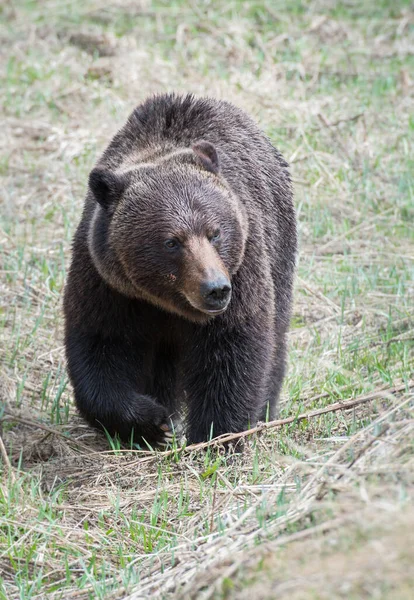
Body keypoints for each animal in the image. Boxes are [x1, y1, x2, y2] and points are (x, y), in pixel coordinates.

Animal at [63, 94, 296, 446]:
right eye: (172, 241)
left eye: (215, 232)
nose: (215, 288)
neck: (167, 303)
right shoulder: (107, 284)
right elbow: (100, 347)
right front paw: (153, 421)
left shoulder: (244, 270)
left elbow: (233, 353)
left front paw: (214, 435)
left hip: (279, 246)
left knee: (276, 338)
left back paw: (265, 411)